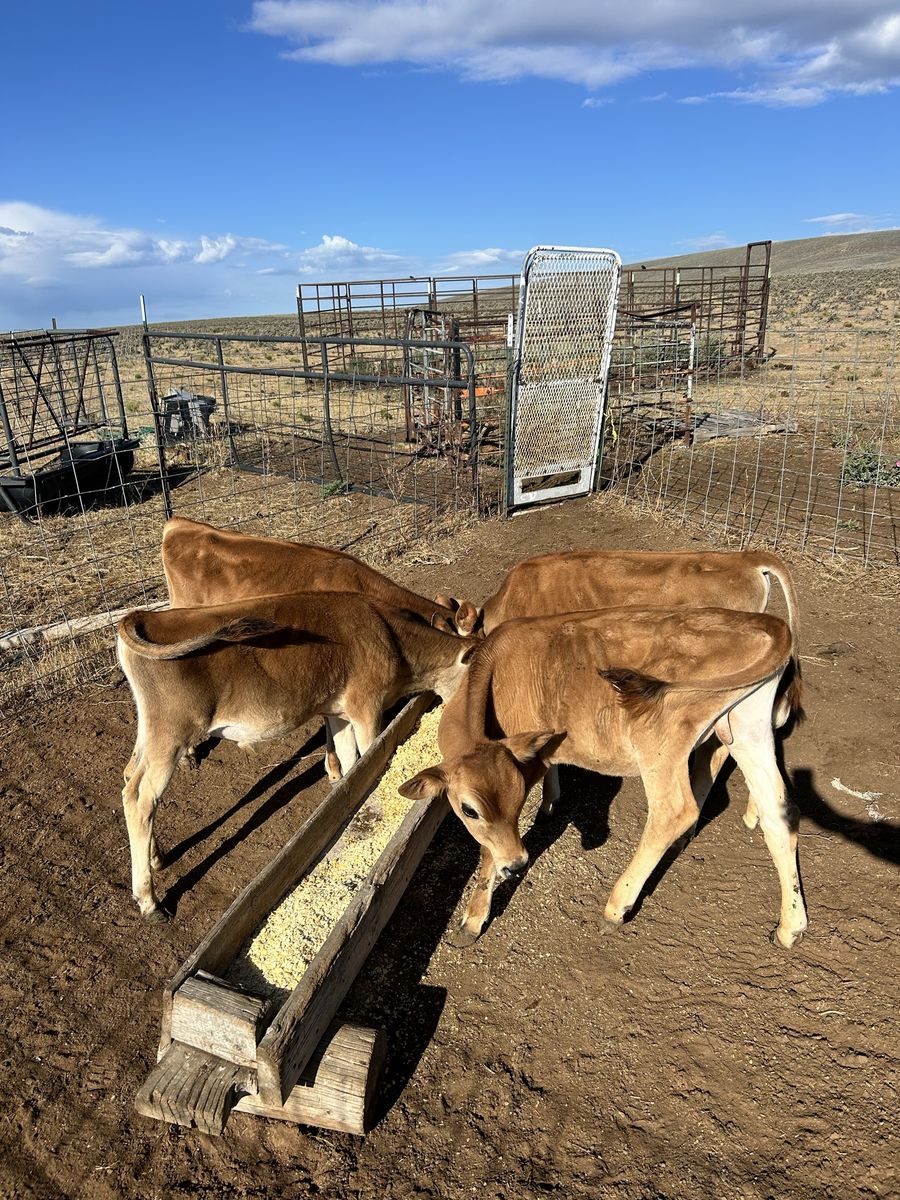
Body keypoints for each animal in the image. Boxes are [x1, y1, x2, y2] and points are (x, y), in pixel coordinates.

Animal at [117, 592, 478, 919]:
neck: (391, 637)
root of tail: (144, 615)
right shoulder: (366, 707)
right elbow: (371, 755)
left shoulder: (338, 712)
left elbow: (351, 762)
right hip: (171, 733)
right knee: (139, 797)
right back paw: (150, 901)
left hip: (151, 732)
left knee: (129, 774)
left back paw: (156, 856)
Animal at [399, 607, 807, 950]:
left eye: (471, 810)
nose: (516, 864)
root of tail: (758, 621)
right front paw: (551, 801)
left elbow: (486, 849)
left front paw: (472, 918)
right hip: (746, 729)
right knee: (780, 811)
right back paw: (791, 925)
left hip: (660, 739)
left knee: (673, 813)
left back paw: (616, 906)